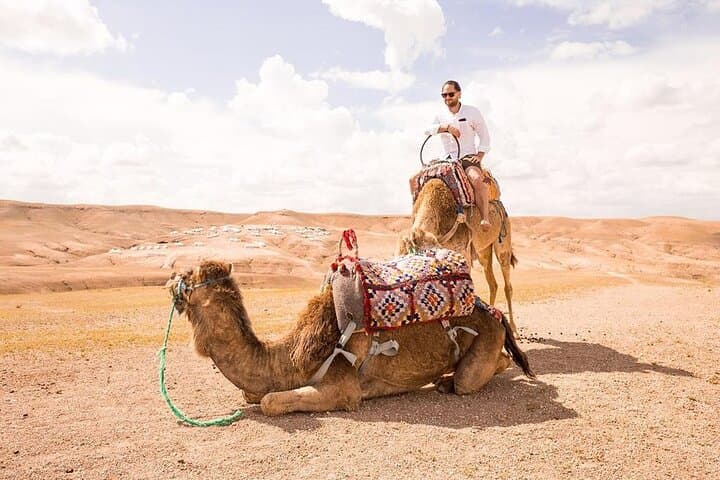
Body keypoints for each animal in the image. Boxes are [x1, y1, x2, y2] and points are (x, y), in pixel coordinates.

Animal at [166, 260, 533, 416]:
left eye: (188, 275)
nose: (170, 278)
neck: (288, 358)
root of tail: (492, 311)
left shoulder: (343, 388)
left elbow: (270, 402)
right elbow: (252, 393)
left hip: (484, 343)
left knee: (470, 378)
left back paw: (448, 381)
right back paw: (443, 379)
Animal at [398, 178, 518, 333]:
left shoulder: (463, 251)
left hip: (503, 241)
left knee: (507, 283)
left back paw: (513, 328)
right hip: (483, 251)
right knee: (492, 283)